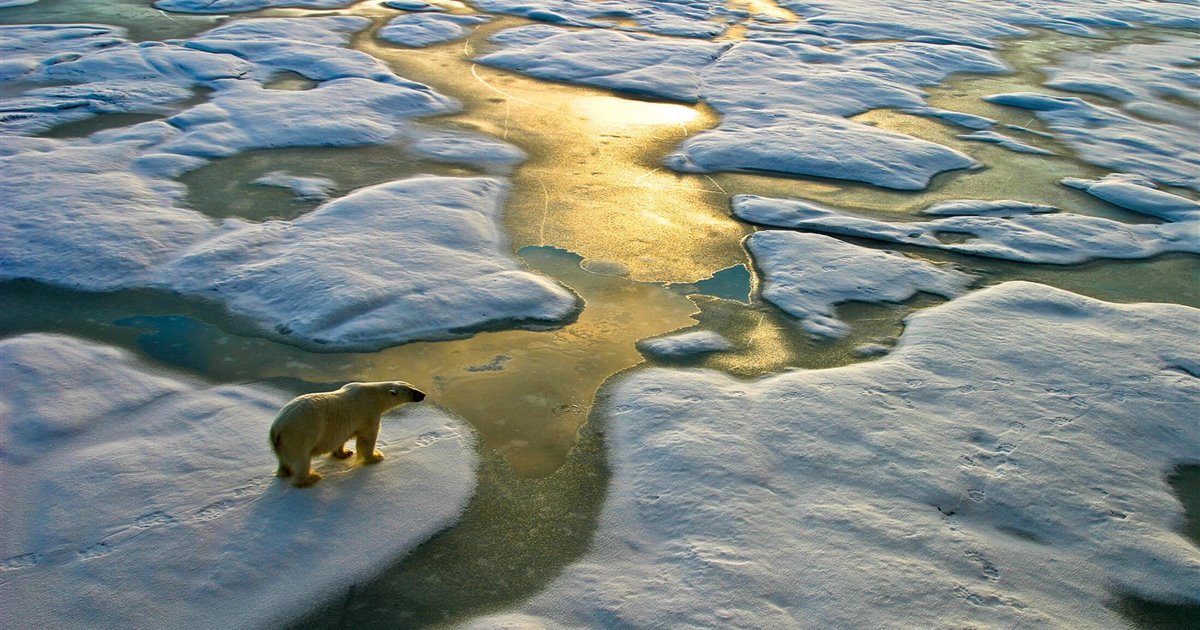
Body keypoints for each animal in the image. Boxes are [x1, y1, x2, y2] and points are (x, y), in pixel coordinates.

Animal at [271, 379, 427, 487]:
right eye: (410, 390)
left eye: (412, 385)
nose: (423, 394)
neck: (373, 395)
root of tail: (277, 427)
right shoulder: (368, 412)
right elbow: (367, 438)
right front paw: (375, 456)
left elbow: (341, 438)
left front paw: (344, 453)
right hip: (299, 434)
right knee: (302, 459)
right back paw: (311, 478)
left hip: (282, 442)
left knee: (283, 460)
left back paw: (286, 472)